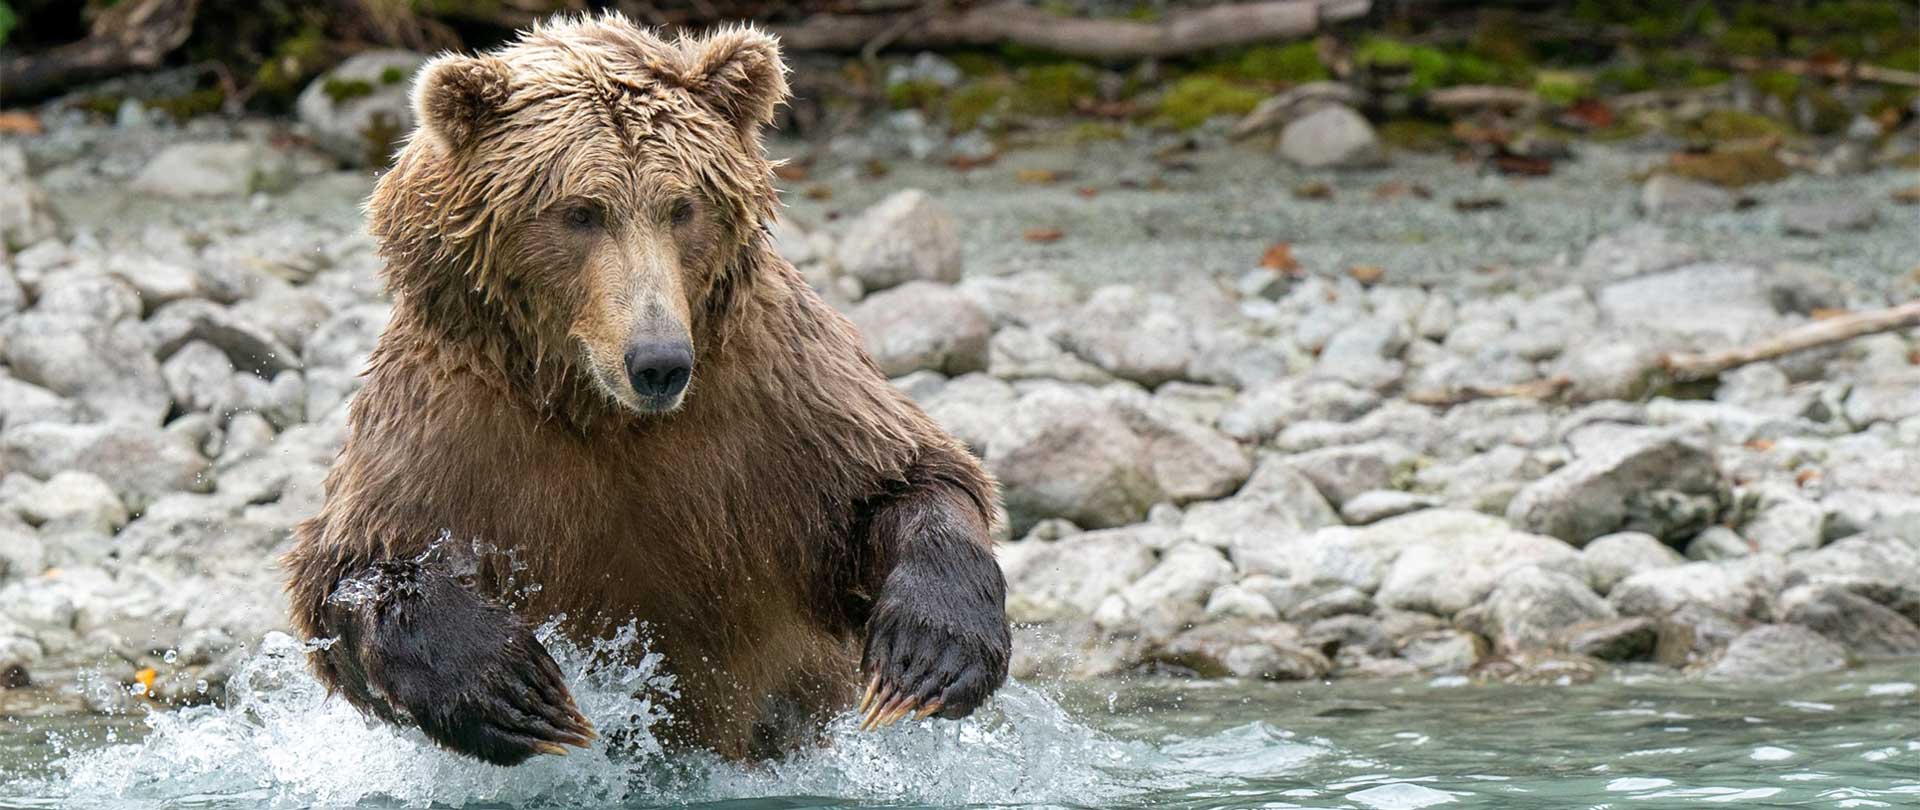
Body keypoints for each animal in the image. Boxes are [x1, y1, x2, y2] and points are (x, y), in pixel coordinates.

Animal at [282, 17, 1013, 763]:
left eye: (682, 207)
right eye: (580, 212)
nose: (658, 362)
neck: (600, 409)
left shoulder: (777, 397)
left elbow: (906, 476)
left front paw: (927, 656)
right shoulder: (454, 422)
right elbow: (351, 568)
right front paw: (514, 690)